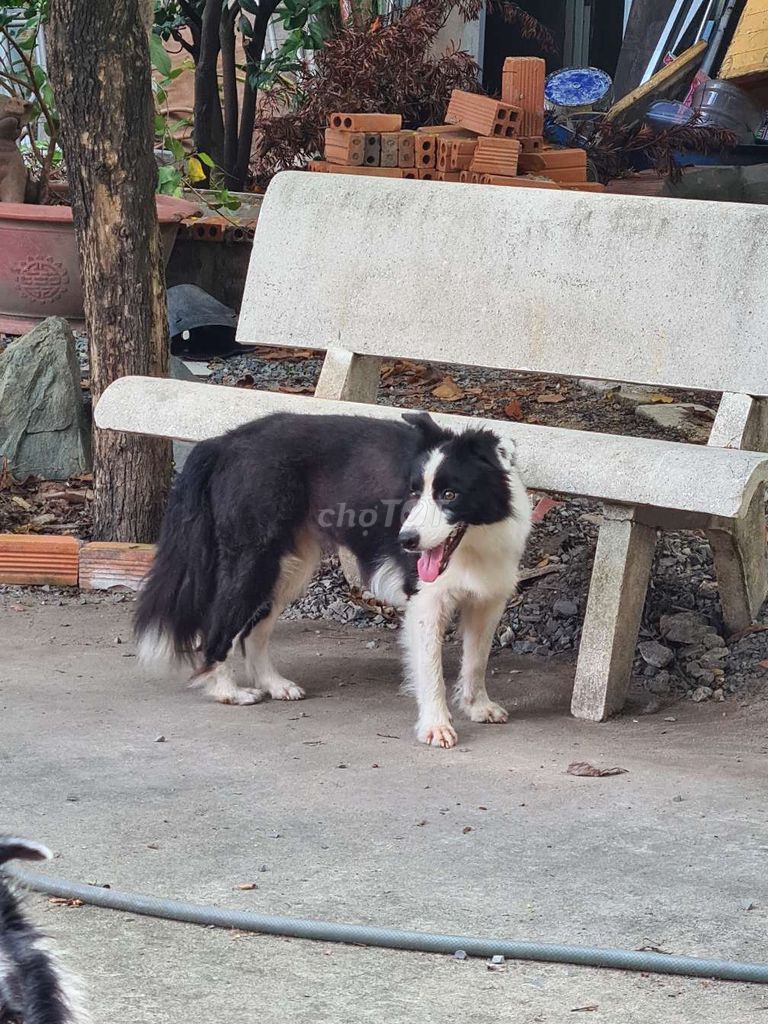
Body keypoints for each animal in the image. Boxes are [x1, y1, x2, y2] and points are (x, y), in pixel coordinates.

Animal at [135, 411, 532, 749]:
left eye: (449, 494)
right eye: (414, 493)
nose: (406, 540)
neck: (475, 541)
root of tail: (223, 443)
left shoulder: (487, 601)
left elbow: (476, 661)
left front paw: (477, 706)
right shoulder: (426, 602)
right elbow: (431, 669)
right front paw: (436, 726)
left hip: (286, 569)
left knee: (254, 631)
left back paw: (273, 684)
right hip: (254, 563)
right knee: (218, 626)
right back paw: (228, 691)